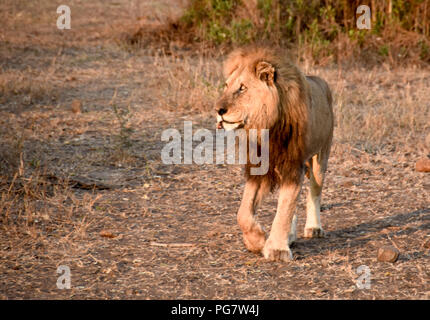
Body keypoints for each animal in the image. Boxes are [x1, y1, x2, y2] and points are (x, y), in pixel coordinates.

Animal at [217, 47, 334, 262]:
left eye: (242, 88)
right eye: (227, 86)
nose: (218, 110)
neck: (267, 128)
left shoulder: (293, 167)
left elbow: (284, 209)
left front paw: (277, 249)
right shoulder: (258, 169)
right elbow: (243, 213)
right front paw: (257, 241)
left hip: (321, 158)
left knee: (314, 192)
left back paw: (314, 228)